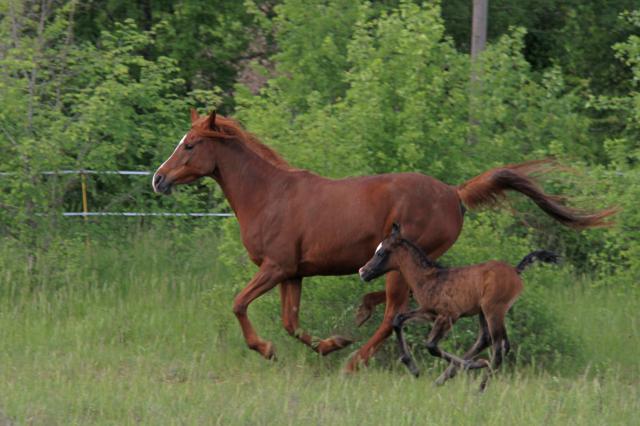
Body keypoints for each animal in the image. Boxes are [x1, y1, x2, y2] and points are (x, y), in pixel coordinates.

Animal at [151, 110, 616, 372]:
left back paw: (356, 360)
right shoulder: (292, 273)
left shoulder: (275, 267)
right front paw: (328, 344)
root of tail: (454, 193)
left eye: (190, 145)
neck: (269, 195)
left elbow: (239, 304)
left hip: (402, 261)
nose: (158, 179)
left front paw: (265, 350)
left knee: (395, 311)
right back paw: (360, 318)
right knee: (398, 307)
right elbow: (291, 322)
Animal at [360, 223, 560, 390]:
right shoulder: (429, 312)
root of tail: (515, 270)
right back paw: (443, 379)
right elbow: (398, 320)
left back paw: (478, 388)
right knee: (486, 339)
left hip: (494, 310)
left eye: (381, 252)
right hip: (483, 312)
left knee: (499, 346)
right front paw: (413, 367)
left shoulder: (449, 315)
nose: (363, 271)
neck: (429, 278)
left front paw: (475, 364)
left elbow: (431, 345)